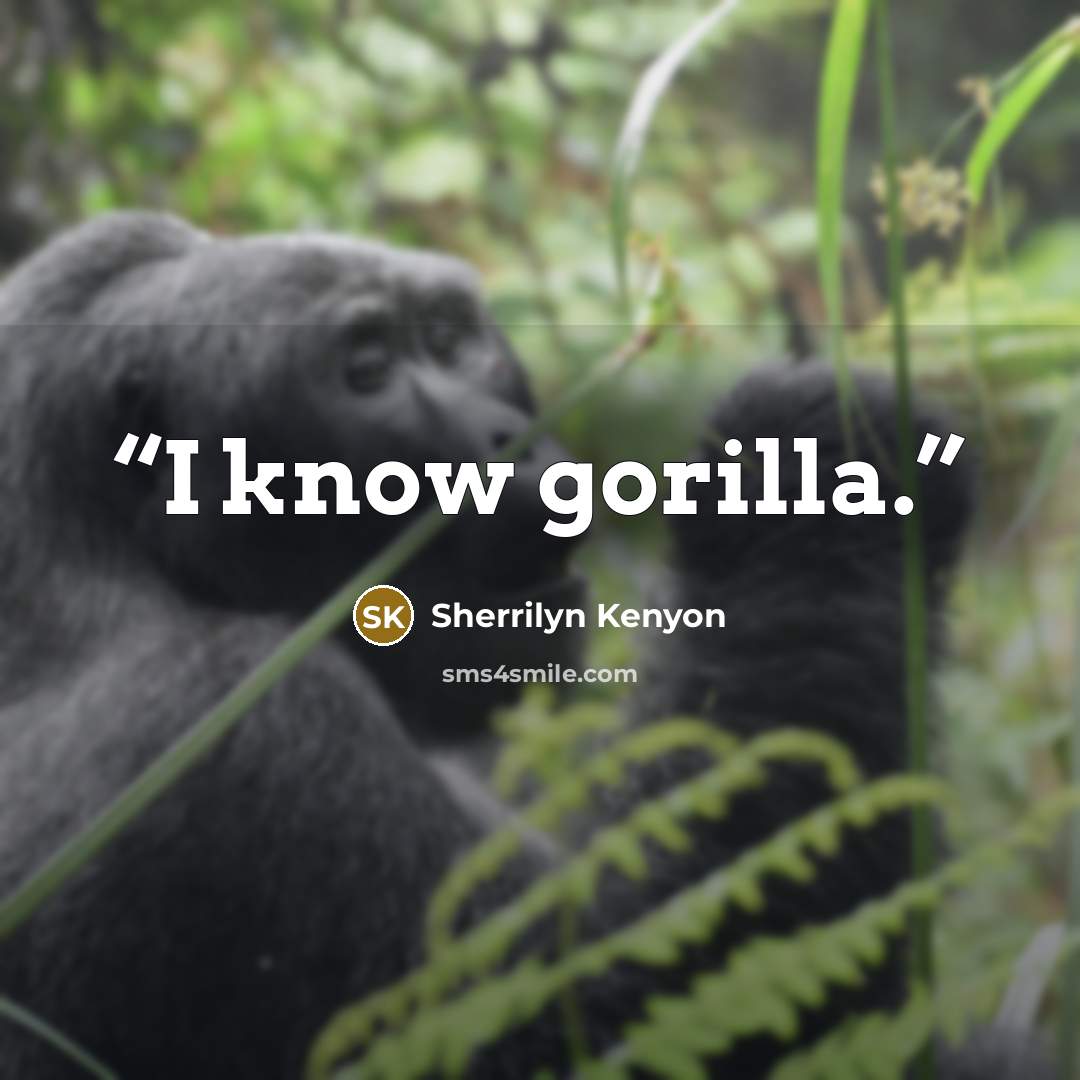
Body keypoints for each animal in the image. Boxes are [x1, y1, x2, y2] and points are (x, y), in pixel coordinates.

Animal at [0, 213, 1057, 1078]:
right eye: (366, 371)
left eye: (448, 339)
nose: (508, 437)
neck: (108, 552)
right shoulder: (233, 724)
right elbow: (655, 1013)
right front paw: (814, 478)